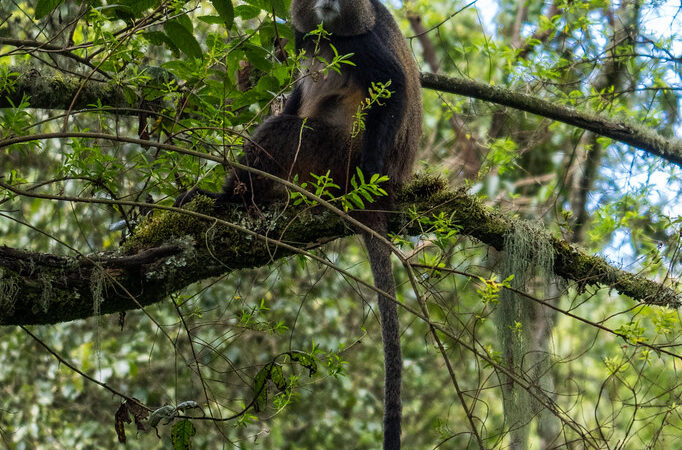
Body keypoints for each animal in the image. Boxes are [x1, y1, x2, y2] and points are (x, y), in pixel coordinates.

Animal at [176, 1, 421, 448]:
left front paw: (372, 171)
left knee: (287, 131)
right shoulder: (301, 38)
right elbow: (296, 92)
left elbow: (392, 85)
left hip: (331, 156)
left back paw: (232, 197)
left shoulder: (362, 41)